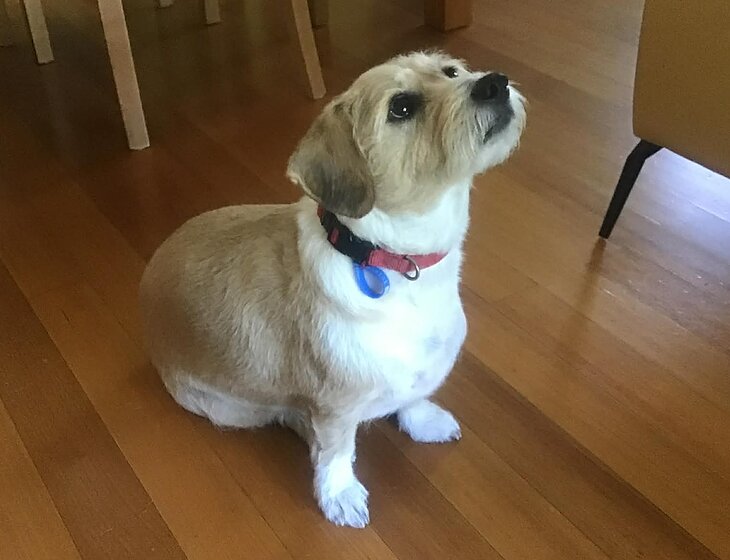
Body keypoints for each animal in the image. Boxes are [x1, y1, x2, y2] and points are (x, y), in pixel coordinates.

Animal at [139, 51, 526, 528]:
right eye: (401, 107)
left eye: (451, 71)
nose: (494, 83)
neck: (394, 260)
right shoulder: (334, 404)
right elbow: (337, 450)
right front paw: (339, 494)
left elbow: (414, 395)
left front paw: (421, 420)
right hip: (231, 409)